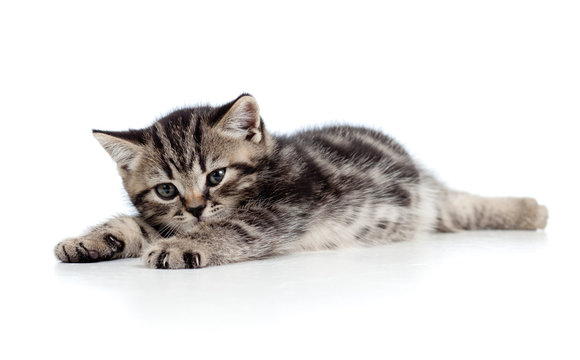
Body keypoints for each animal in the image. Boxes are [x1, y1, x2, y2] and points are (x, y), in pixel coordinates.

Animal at [54, 94, 548, 268]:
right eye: (166, 189)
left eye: (217, 175)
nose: (195, 208)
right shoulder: (165, 217)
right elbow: (133, 225)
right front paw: (91, 241)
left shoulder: (284, 208)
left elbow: (232, 227)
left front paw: (179, 248)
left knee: (465, 205)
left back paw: (531, 209)